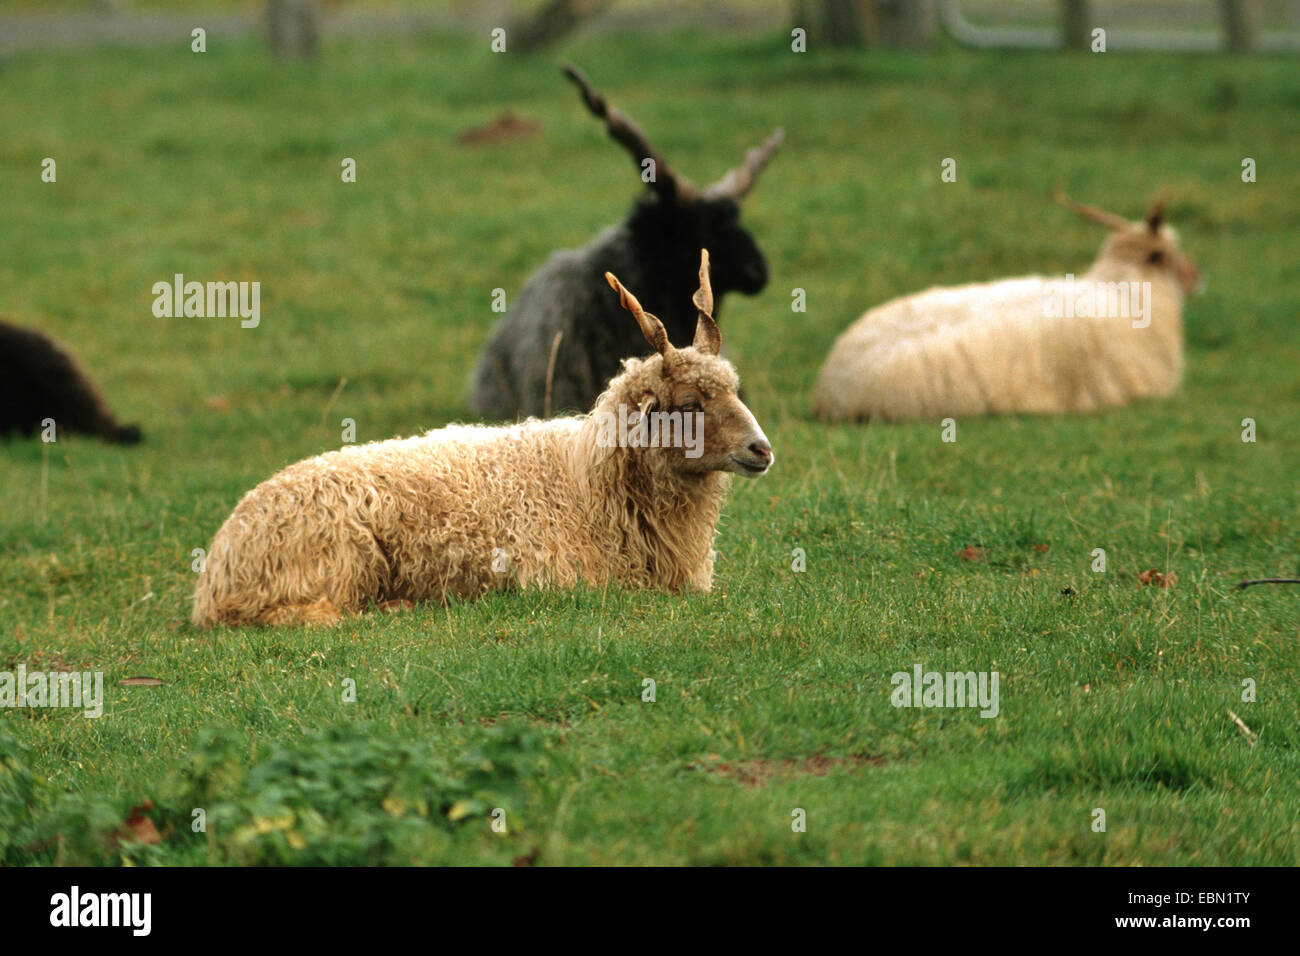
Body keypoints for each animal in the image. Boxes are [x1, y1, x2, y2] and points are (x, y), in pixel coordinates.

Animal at [195, 251, 769, 632]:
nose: (761, 450)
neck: (583, 481)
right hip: (334, 561)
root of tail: (215, 572)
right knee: (312, 616)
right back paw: (396, 607)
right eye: (689, 403)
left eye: (733, 388)